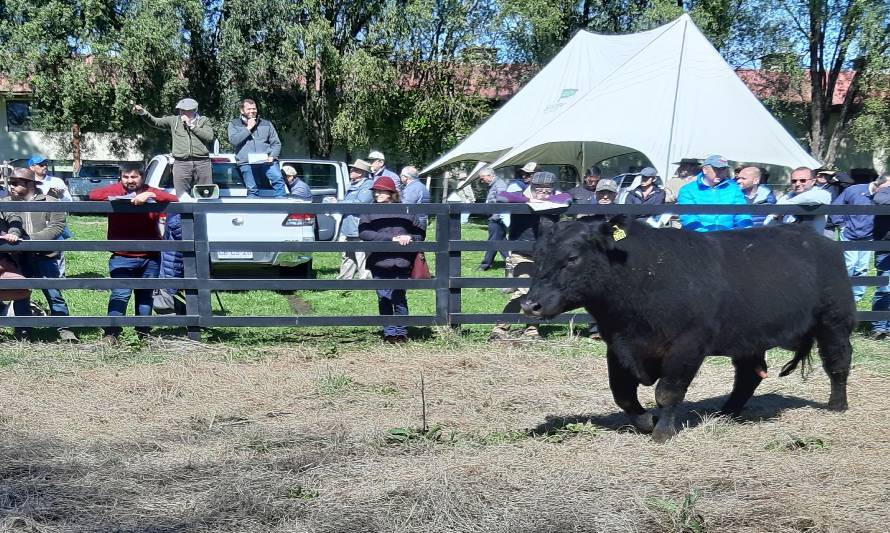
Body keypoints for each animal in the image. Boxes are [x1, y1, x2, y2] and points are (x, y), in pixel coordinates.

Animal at [520, 218, 852, 442]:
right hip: (748, 339)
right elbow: (623, 394)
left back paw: (837, 405)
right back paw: (725, 413)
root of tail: (815, 237)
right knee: (747, 377)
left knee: (838, 363)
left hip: (834, 321)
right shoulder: (618, 346)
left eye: (572, 258)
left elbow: (667, 392)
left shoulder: (687, 345)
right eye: (536, 256)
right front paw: (647, 422)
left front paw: (662, 432)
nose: (530, 304)